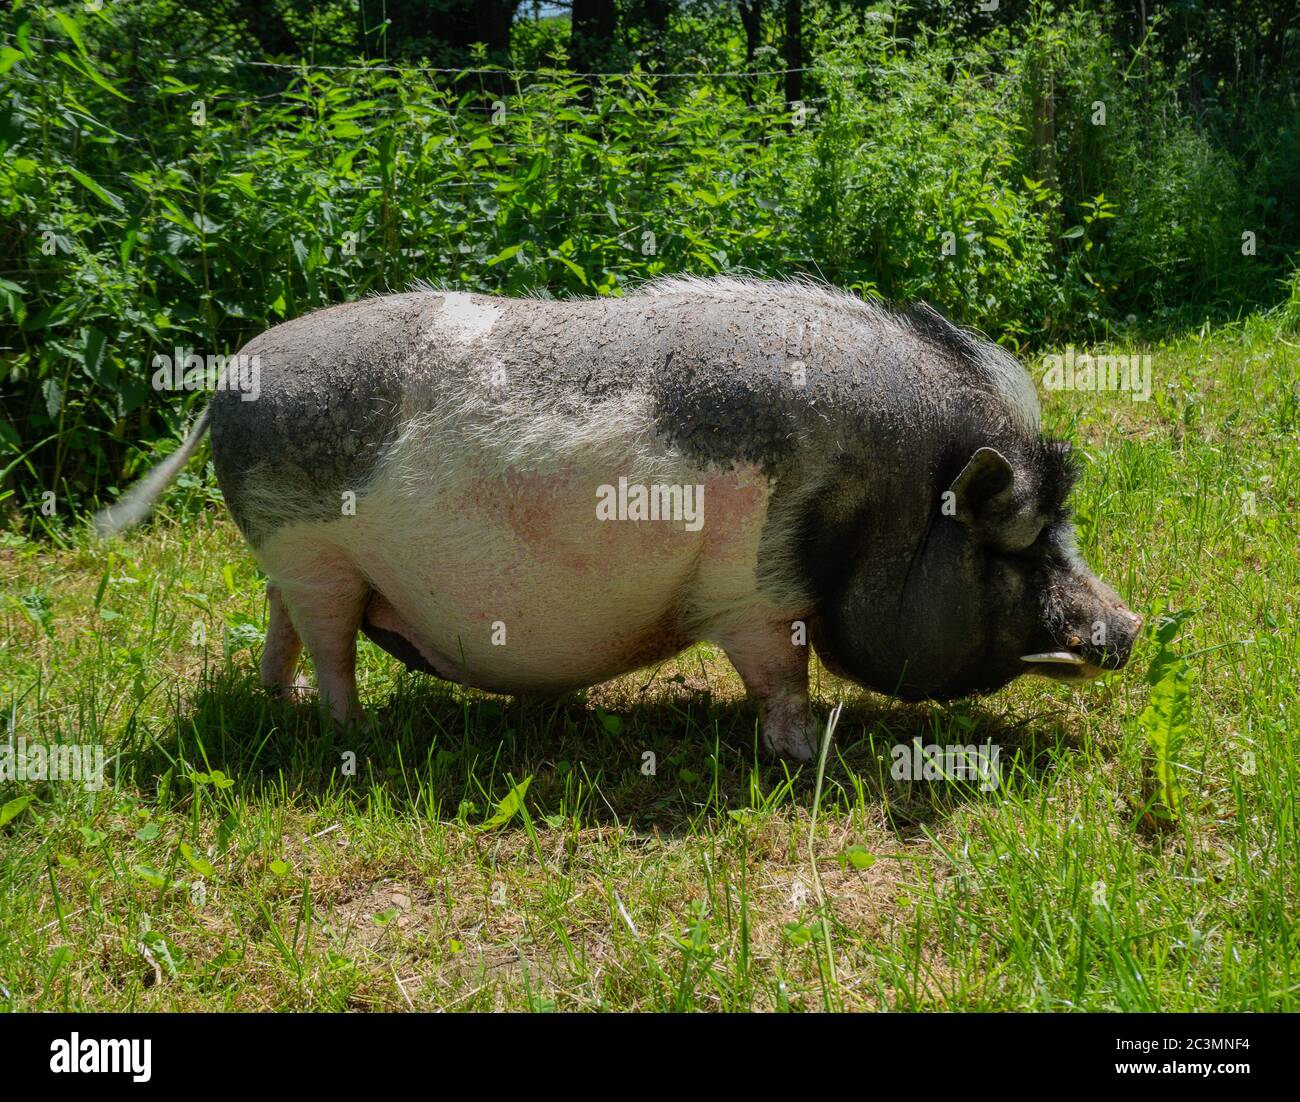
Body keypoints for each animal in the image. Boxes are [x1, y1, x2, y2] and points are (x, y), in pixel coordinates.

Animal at [96, 277, 1142, 759]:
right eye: (1016, 548)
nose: (1131, 626)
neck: (886, 499)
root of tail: (224, 386)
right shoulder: (756, 595)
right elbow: (782, 679)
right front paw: (811, 759)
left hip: (293, 560)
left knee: (281, 633)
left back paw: (283, 710)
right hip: (313, 554)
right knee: (330, 646)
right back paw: (356, 737)